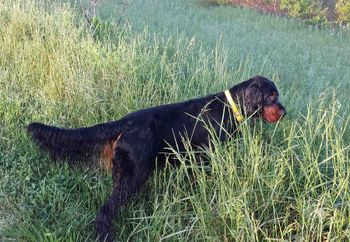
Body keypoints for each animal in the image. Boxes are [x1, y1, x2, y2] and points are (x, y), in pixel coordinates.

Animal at [26, 75, 284, 240]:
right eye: (272, 96)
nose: (285, 111)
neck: (229, 107)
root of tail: (124, 123)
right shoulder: (206, 157)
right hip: (134, 175)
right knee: (106, 210)